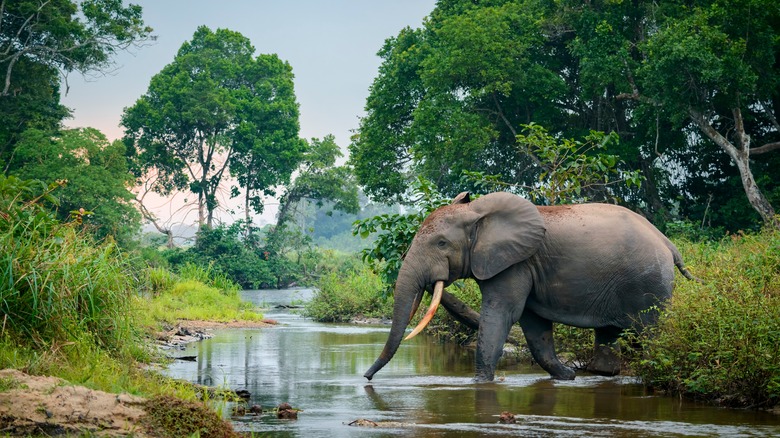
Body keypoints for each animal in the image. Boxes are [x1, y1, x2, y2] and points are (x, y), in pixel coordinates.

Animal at [364, 192, 696, 384]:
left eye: (442, 243)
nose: (366, 378)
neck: (478, 212)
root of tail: (668, 242)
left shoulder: (514, 263)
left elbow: (502, 314)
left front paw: (479, 383)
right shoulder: (524, 266)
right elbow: (534, 325)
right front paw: (567, 377)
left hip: (648, 283)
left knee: (651, 332)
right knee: (609, 334)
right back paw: (599, 375)